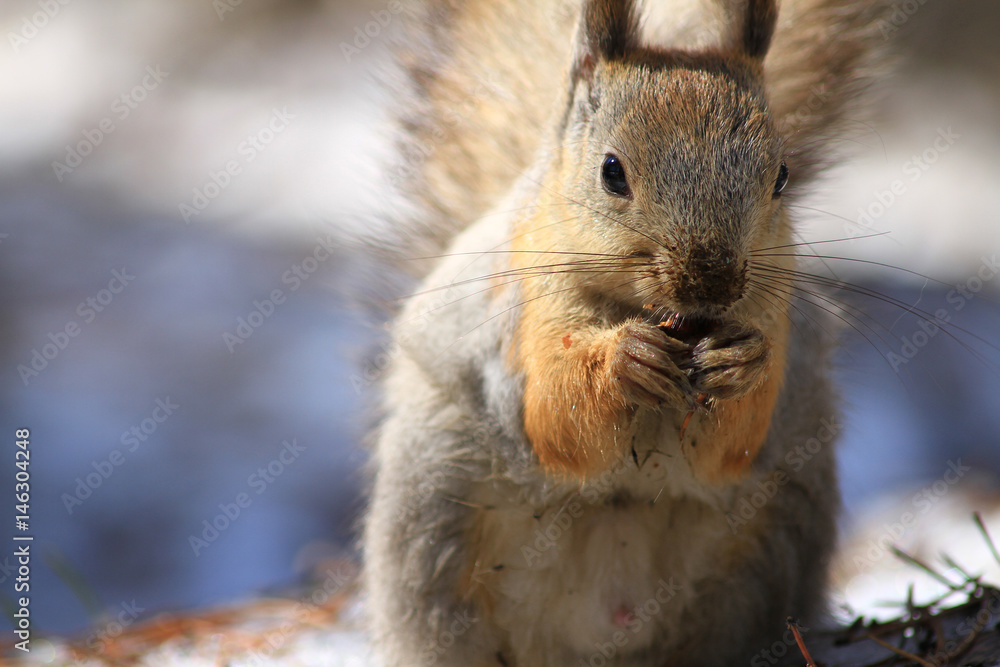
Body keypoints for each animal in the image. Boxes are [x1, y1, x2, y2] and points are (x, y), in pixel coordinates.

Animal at [362, 0, 891, 664]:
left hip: (772, 546)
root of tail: (597, 632)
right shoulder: (522, 317)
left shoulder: (777, 311)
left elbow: (732, 447)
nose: (711, 282)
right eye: (612, 172)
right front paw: (623, 359)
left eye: (782, 176)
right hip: (432, 514)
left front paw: (741, 363)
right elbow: (554, 418)